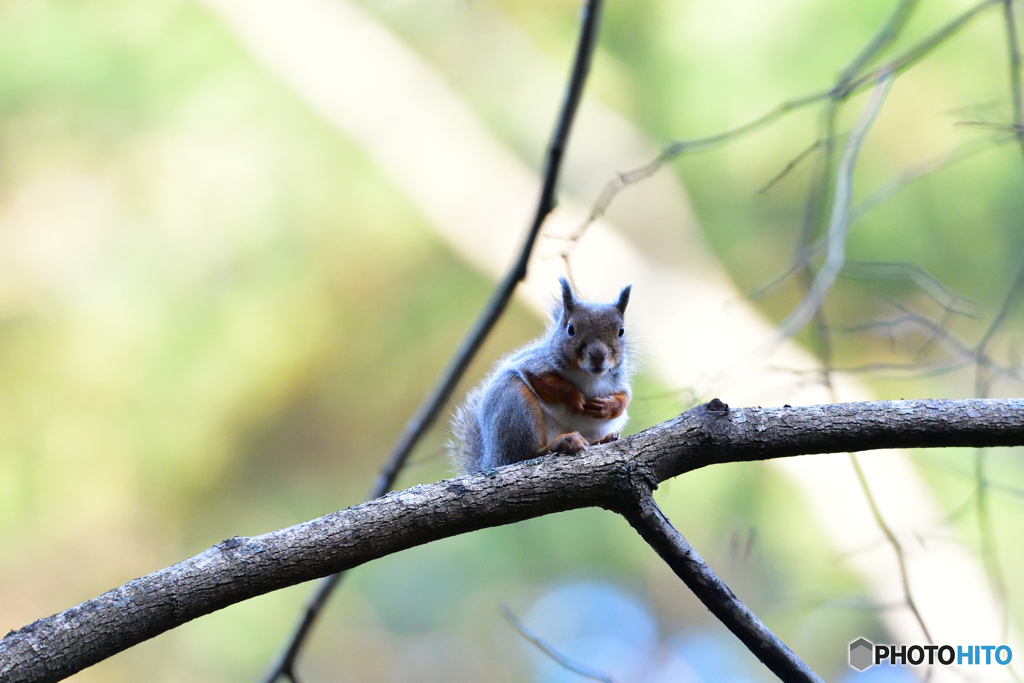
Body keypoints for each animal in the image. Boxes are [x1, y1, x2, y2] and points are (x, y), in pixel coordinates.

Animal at [450, 276, 630, 471]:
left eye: (621, 331)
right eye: (570, 329)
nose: (598, 355)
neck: (589, 376)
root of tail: (491, 459)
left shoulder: (618, 381)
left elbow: (624, 399)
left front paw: (607, 406)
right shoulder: (535, 364)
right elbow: (546, 383)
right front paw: (575, 398)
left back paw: (604, 439)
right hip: (515, 405)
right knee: (527, 453)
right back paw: (562, 443)